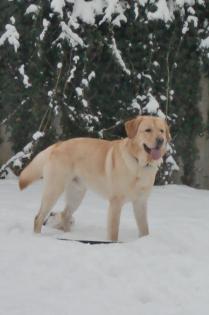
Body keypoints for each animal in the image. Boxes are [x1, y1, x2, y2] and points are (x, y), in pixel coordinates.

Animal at [18, 116, 171, 242]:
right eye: (148, 130)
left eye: (162, 131)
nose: (160, 140)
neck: (140, 164)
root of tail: (58, 144)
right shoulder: (115, 203)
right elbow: (114, 233)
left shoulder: (141, 203)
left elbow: (145, 230)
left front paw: (145, 241)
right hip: (54, 190)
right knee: (39, 217)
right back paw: (38, 237)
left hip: (76, 194)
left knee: (65, 215)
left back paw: (69, 236)